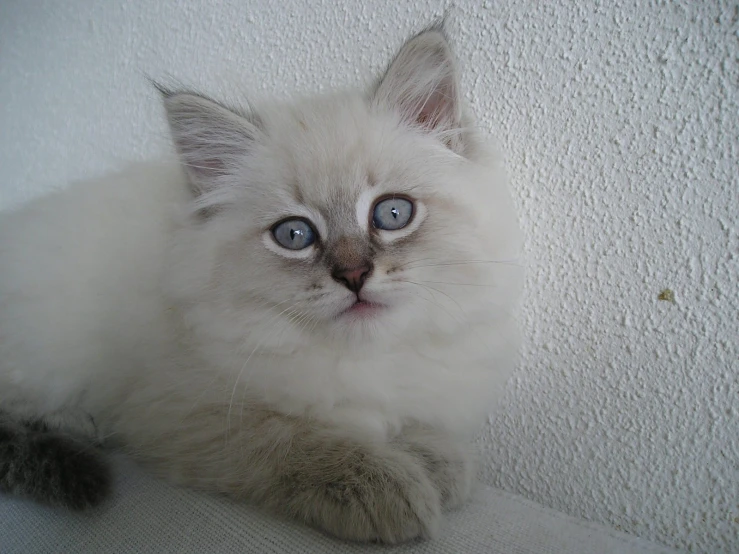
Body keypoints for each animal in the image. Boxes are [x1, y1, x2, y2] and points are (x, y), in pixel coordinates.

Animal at [0, 23, 520, 540]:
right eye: (294, 235)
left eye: (392, 214)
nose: (353, 276)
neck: (359, 358)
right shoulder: (187, 413)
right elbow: (295, 440)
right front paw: (385, 487)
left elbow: (414, 429)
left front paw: (441, 463)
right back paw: (75, 421)